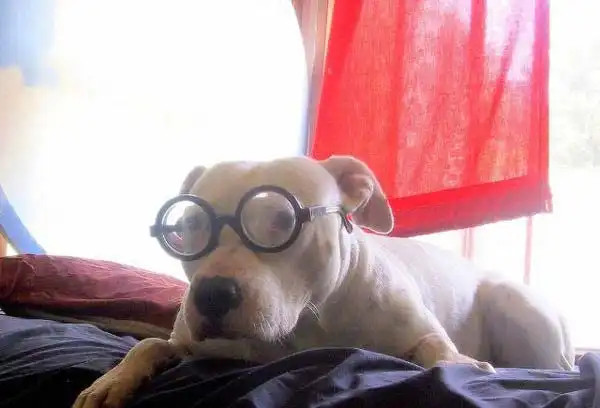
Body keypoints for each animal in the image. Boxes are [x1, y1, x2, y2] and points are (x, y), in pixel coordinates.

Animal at [73, 155, 574, 408]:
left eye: (283, 219)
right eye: (189, 226)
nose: (213, 293)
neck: (308, 324)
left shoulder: (417, 330)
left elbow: (436, 347)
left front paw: (463, 364)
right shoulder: (191, 342)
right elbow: (149, 343)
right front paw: (110, 382)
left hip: (515, 305)